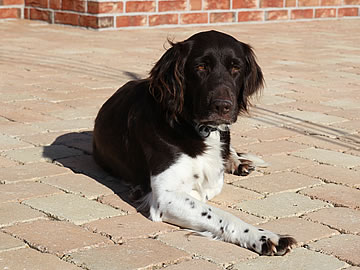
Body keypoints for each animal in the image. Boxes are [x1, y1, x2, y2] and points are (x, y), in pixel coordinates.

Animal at [93, 30, 296, 255]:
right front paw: (263, 236)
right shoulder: (165, 196)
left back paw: (238, 162)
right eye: (200, 67)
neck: (197, 130)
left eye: (236, 67)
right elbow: (218, 213)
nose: (222, 107)